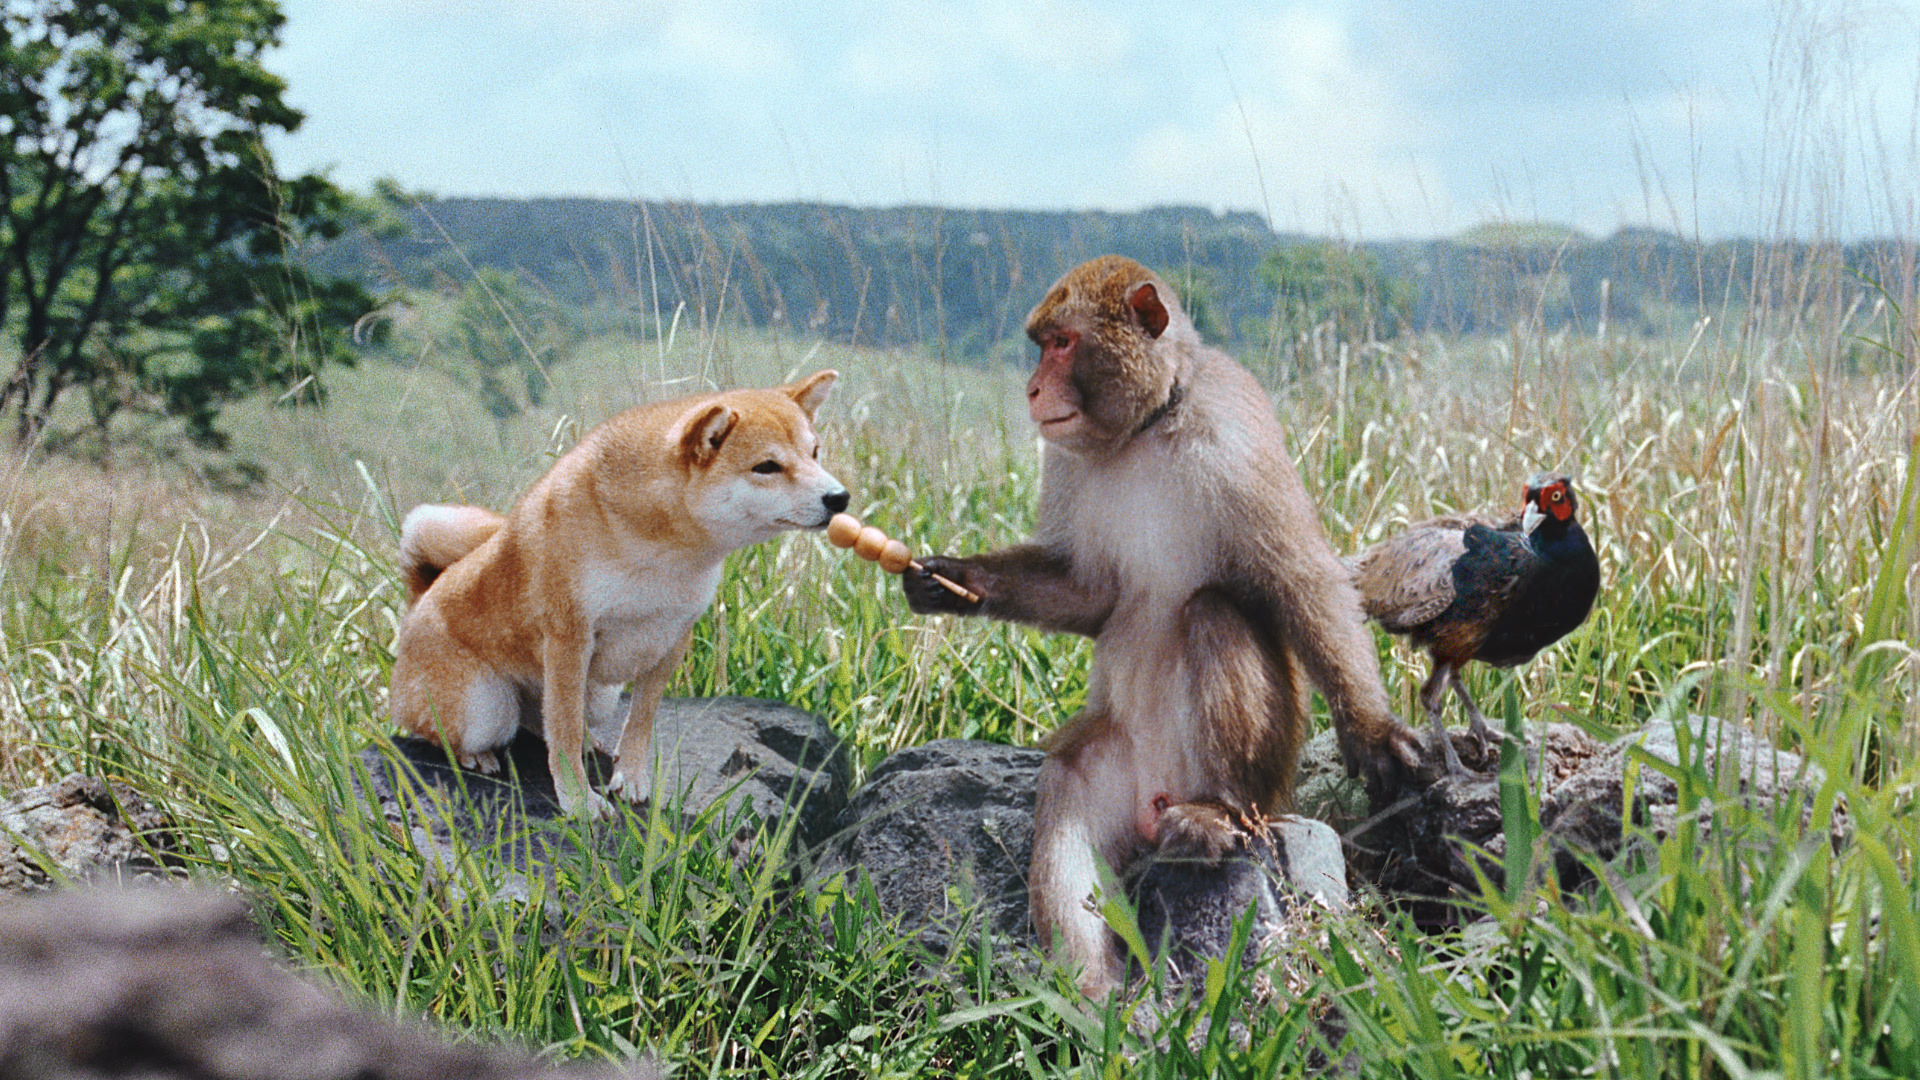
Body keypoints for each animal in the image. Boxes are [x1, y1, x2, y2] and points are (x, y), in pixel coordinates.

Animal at [387, 367, 840, 807]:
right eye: (766, 466)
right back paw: (475, 755)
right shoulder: (569, 637)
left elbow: (639, 721)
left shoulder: (673, 634)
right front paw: (577, 801)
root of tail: (419, 600)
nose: (840, 498)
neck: (663, 548)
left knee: (541, 720)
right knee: (451, 730)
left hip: (596, 696)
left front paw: (631, 778)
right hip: (484, 707)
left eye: (815, 453)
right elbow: (565, 730)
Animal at [902, 251, 1428, 991]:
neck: (1147, 429)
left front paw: (1372, 731)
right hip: (1116, 770)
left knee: (1212, 613)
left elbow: (1299, 581)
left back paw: (1213, 810)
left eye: (1061, 344)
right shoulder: (1065, 457)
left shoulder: (1234, 430)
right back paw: (1091, 990)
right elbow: (1090, 592)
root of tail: (1160, 796)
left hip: (1270, 778)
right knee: (1069, 780)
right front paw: (954, 580)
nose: (1032, 390)